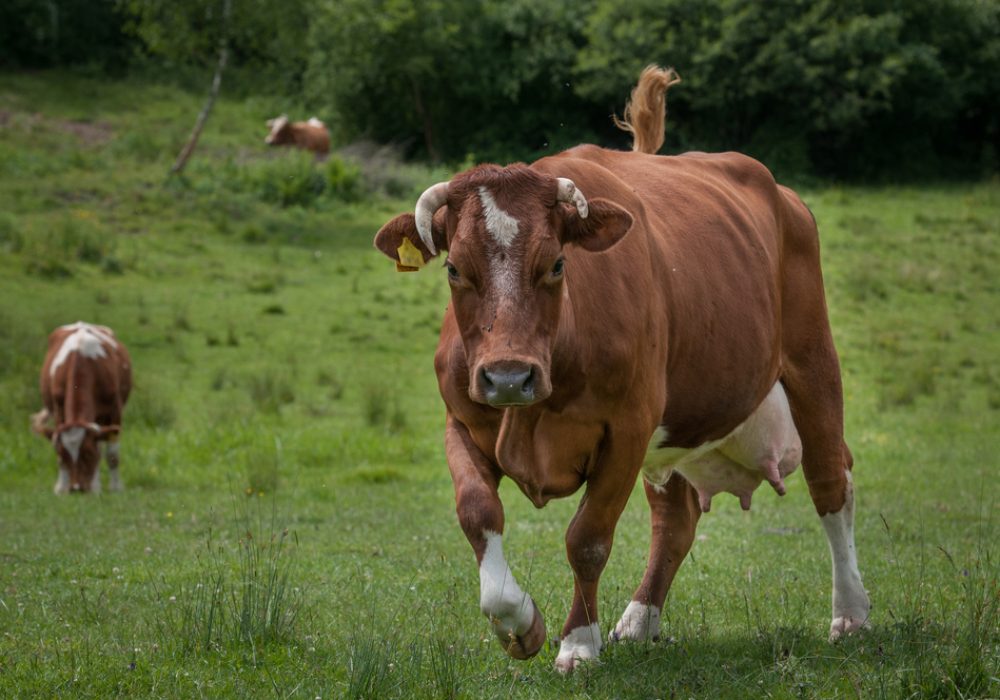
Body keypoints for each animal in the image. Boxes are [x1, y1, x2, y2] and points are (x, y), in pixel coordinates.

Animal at [31, 322, 132, 494]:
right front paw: (62, 487)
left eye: (88, 453)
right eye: (63, 454)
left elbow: (112, 455)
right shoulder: (59, 411)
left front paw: (114, 487)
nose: (76, 488)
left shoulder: (115, 412)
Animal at [373, 65, 869, 672]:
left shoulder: (628, 428)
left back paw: (850, 614)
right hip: (678, 428)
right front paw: (520, 623)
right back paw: (638, 622)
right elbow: (477, 511)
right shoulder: (462, 420)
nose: (509, 376)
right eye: (453, 269)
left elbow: (588, 538)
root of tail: (783, 195)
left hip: (812, 362)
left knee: (831, 482)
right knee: (675, 521)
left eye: (556, 264)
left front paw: (578, 643)